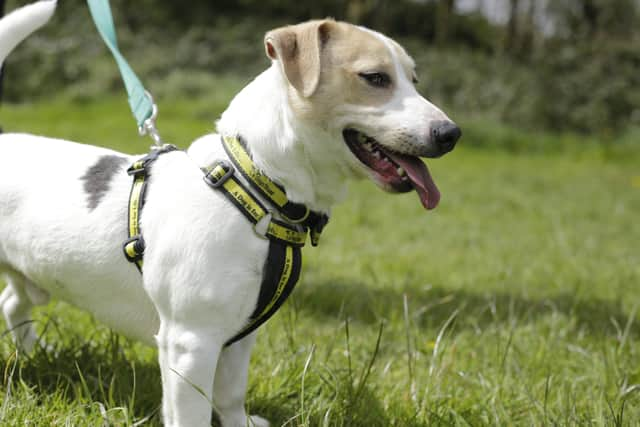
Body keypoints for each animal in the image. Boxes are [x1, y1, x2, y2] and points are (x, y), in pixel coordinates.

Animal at [0, 1, 460, 426]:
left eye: (414, 80)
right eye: (375, 78)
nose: (451, 133)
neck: (253, 188)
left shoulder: (239, 336)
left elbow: (231, 397)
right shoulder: (192, 341)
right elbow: (193, 413)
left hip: (32, 277)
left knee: (13, 303)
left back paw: (34, 351)